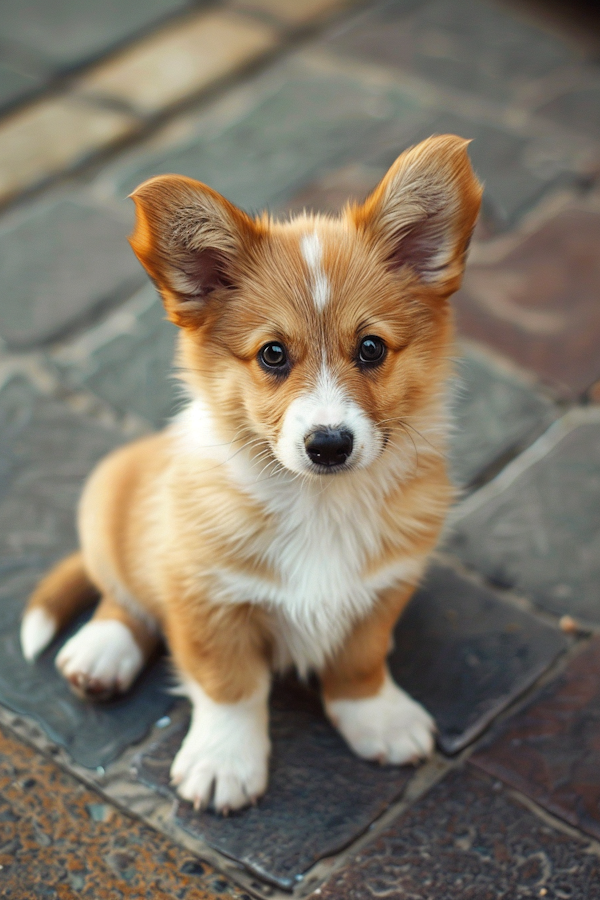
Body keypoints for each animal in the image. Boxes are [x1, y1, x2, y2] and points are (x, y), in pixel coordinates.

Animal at [21, 135, 482, 816]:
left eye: (371, 348)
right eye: (273, 355)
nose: (329, 445)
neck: (320, 501)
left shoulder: (386, 586)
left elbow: (360, 660)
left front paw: (379, 719)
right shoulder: (204, 597)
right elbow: (230, 688)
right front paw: (223, 764)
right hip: (111, 505)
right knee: (120, 589)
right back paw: (103, 651)